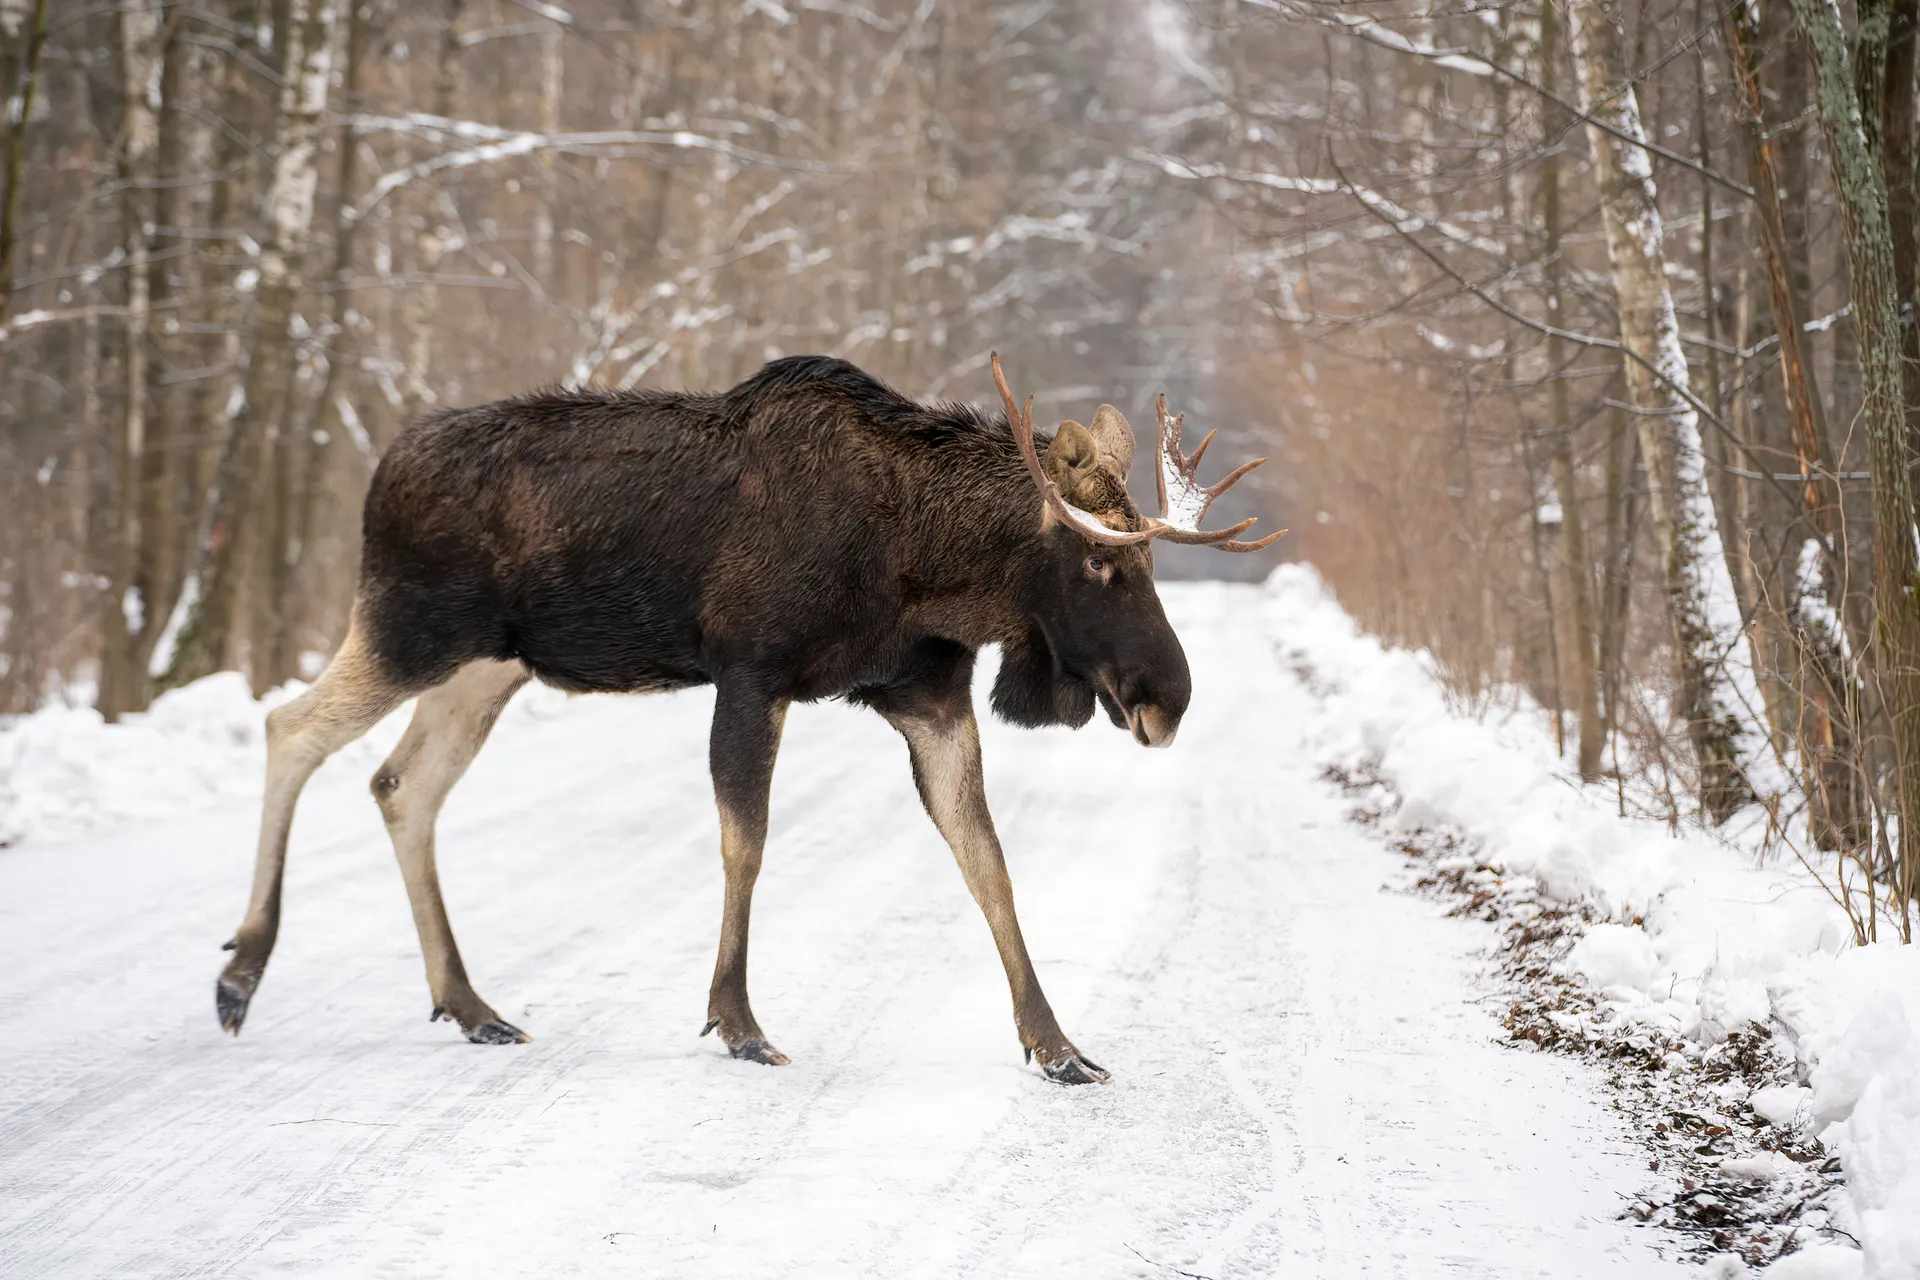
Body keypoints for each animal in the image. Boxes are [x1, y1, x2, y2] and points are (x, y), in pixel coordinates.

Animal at [214, 352, 1283, 1084]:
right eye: (1101, 561)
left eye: (1149, 561)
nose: (1170, 696)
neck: (927, 565)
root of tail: (380, 473)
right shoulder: (750, 673)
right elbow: (747, 842)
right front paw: (738, 1021)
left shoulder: (927, 694)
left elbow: (986, 861)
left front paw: (1057, 1044)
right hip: (409, 629)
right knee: (290, 729)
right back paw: (242, 973)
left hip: (485, 668)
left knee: (401, 784)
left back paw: (470, 1003)